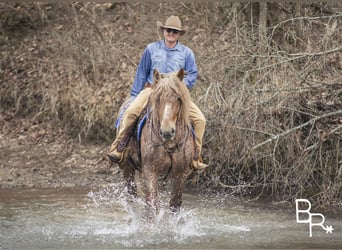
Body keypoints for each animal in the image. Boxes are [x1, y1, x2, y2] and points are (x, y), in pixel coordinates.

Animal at [115, 68, 194, 217]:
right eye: (157, 99)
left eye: (178, 98)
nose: (167, 131)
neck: (169, 144)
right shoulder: (149, 170)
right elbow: (152, 205)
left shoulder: (181, 173)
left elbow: (175, 204)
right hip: (128, 167)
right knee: (131, 195)